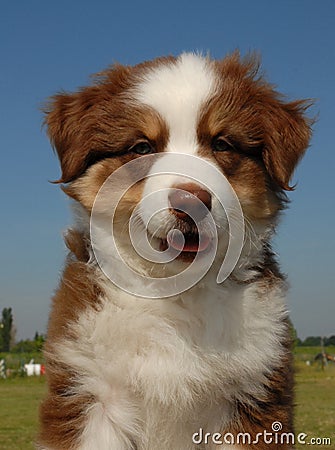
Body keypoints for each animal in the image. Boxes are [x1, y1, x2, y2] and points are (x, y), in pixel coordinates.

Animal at [38, 53, 312, 450]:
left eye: (222, 144)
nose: (190, 200)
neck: (178, 291)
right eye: (142, 147)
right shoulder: (90, 390)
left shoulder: (253, 395)